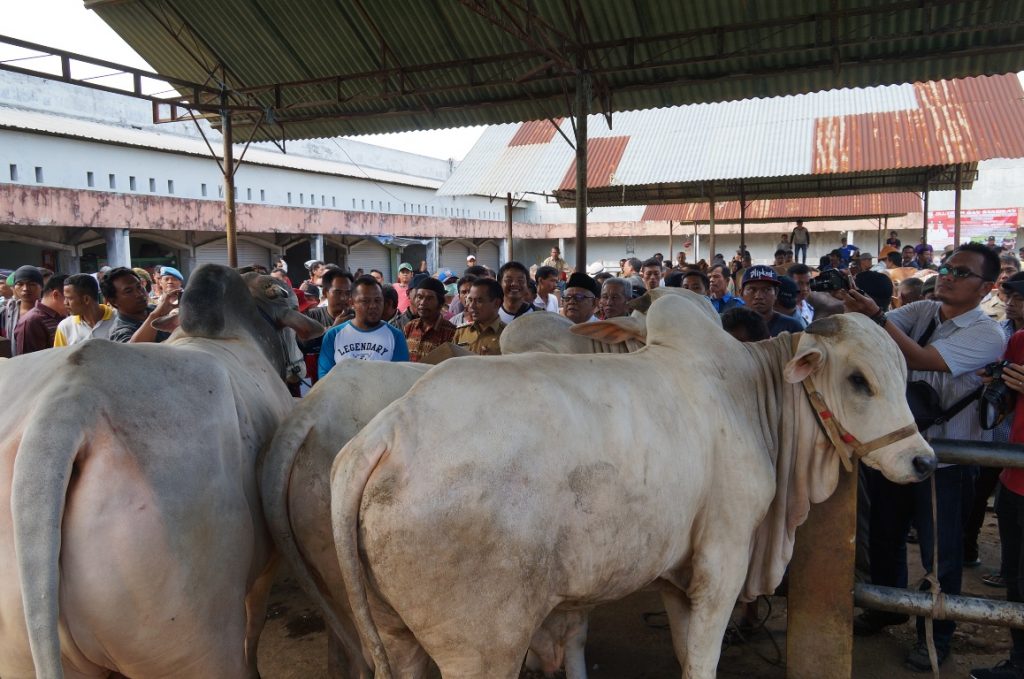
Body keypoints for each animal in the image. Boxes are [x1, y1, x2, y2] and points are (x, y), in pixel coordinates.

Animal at [0, 264, 321, 679]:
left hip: (22, 653)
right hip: (196, 644)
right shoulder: (268, 561)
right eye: (287, 299)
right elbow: (256, 619)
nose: (299, 368)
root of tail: (67, 405)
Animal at [329, 292, 937, 679]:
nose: (923, 461)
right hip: (479, 649)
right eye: (859, 380)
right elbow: (703, 660)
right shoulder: (724, 558)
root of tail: (386, 433)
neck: (748, 394)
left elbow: (684, 650)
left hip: (396, 635)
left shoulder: (677, 574)